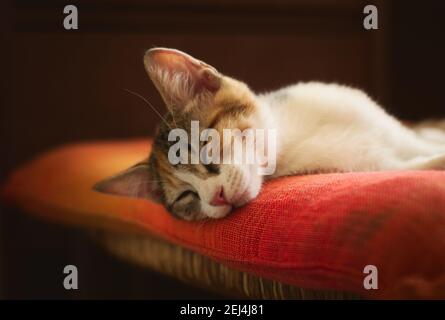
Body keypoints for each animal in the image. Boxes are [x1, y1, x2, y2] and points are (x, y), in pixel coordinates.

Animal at [95, 47, 444, 221]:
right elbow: (412, 165)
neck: (291, 138)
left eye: (206, 152)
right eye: (186, 197)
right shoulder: (367, 164)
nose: (216, 197)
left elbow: (420, 139)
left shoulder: (395, 131)